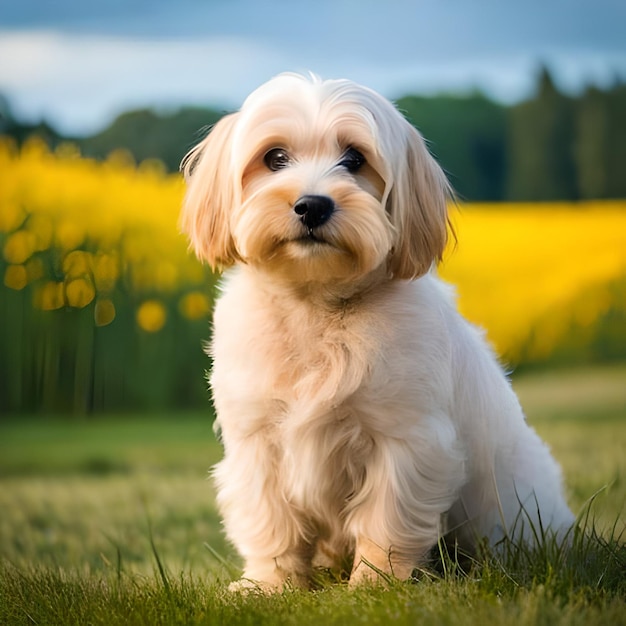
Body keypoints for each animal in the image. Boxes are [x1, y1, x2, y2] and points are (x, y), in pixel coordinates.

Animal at [178, 73, 572, 588]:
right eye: (275, 158)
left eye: (355, 159)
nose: (312, 205)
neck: (318, 306)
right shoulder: (257, 442)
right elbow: (271, 521)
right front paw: (270, 585)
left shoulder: (405, 441)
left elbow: (386, 520)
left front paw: (376, 585)